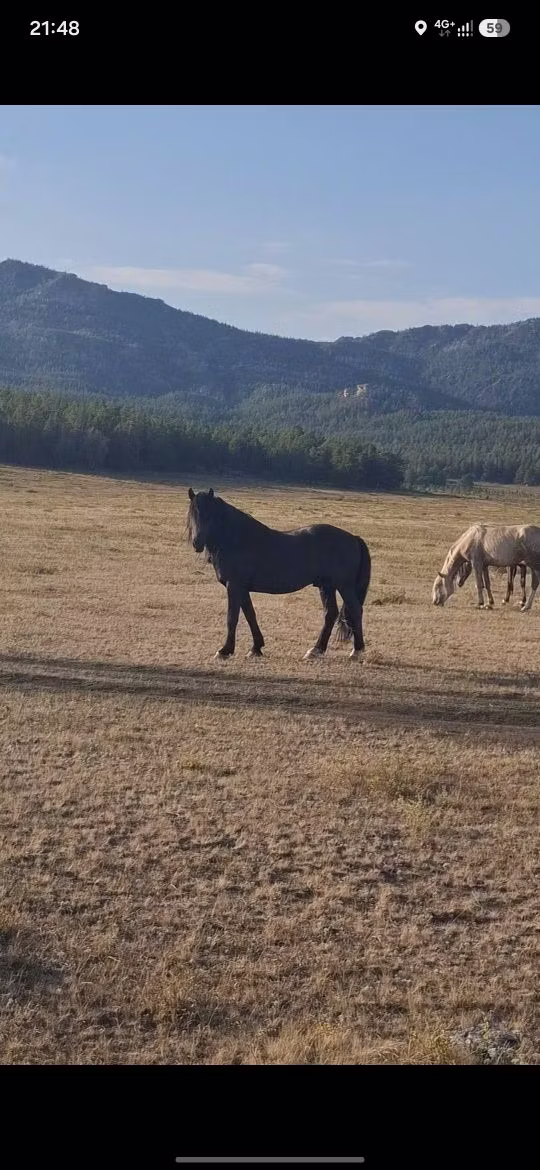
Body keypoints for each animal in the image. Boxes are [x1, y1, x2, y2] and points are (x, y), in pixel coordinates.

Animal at [186, 488, 371, 660]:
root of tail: (353, 538)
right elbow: (250, 615)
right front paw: (256, 648)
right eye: (192, 514)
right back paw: (316, 650)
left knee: (355, 610)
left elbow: (232, 618)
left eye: (210, 515)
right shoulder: (242, 589)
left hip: (344, 586)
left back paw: (356, 651)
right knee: (330, 614)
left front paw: (225, 650)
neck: (237, 540)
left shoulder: (234, 587)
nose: (197, 543)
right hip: (327, 586)